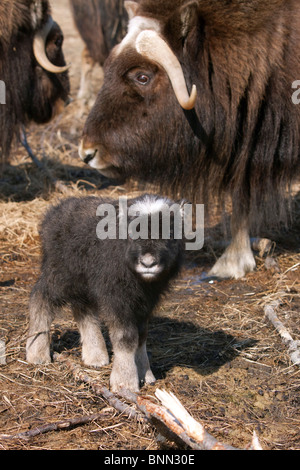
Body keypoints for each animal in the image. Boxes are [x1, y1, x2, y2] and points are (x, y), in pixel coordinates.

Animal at [26, 193, 185, 392]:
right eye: (132, 233)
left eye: (170, 233)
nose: (148, 263)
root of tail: (53, 214)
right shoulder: (116, 298)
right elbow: (126, 337)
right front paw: (125, 383)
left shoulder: (146, 303)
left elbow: (142, 336)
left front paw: (146, 375)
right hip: (60, 274)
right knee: (40, 298)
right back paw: (37, 354)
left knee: (83, 310)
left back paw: (96, 357)